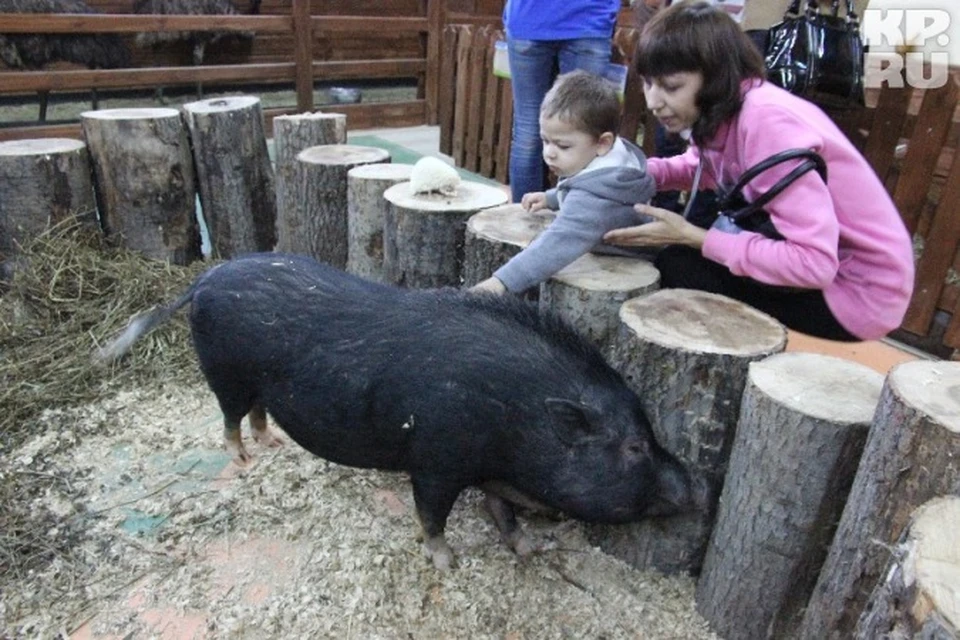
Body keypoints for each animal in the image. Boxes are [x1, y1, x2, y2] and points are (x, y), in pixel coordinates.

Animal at [101, 252, 704, 568]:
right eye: (635, 446)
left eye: (651, 433)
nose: (695, 489)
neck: (516, 416)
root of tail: (203, 279)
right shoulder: (436, 459)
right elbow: (432, 515)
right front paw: (448, 562)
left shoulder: (489, 469)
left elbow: (503, 513)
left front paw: (531, 549)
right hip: (223, 371)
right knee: (227, 418)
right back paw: (245, 462)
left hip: (255, 384)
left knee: (255, 412)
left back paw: (270, 446)